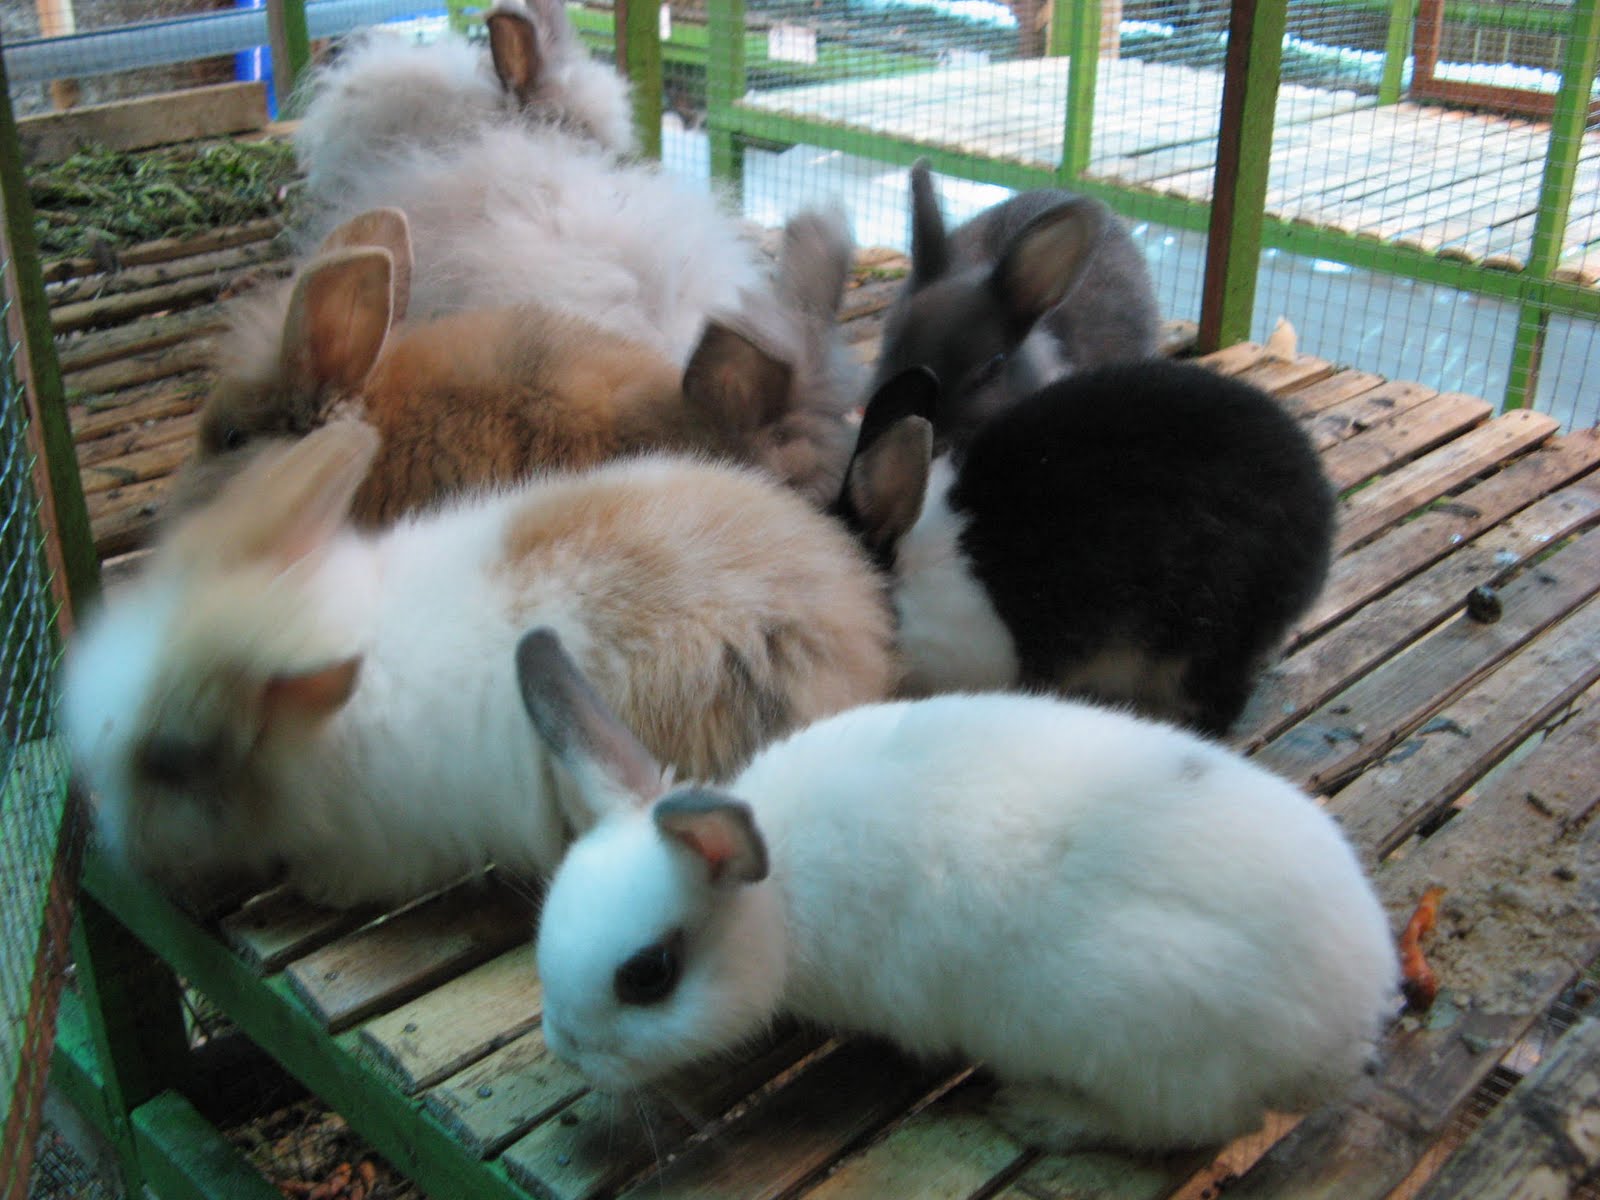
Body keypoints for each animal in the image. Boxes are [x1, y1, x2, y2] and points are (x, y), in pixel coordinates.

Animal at [518, 628, 1399, 1154]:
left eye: (648, 977)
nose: (565, 1048)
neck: (780, 902)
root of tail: (1351, 1022)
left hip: (1142, 1040)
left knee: (1181, 1125)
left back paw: (1039, 1111)